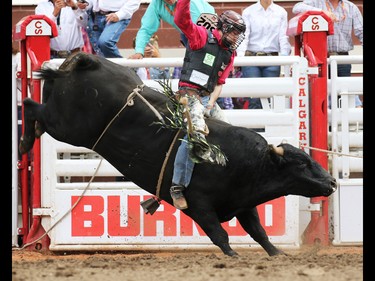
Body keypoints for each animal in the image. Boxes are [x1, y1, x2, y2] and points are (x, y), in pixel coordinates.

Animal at [19, 52, 340, 256]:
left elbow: (259, 232)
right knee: (31, 106)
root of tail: (88, 60)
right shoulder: (199, 204)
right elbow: (220, 235)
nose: (332, 182)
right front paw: (234, 257)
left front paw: (279, 256)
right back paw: (24, 142)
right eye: (302, 163)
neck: (245, 162)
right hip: (68, 127)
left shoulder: (243, 203)